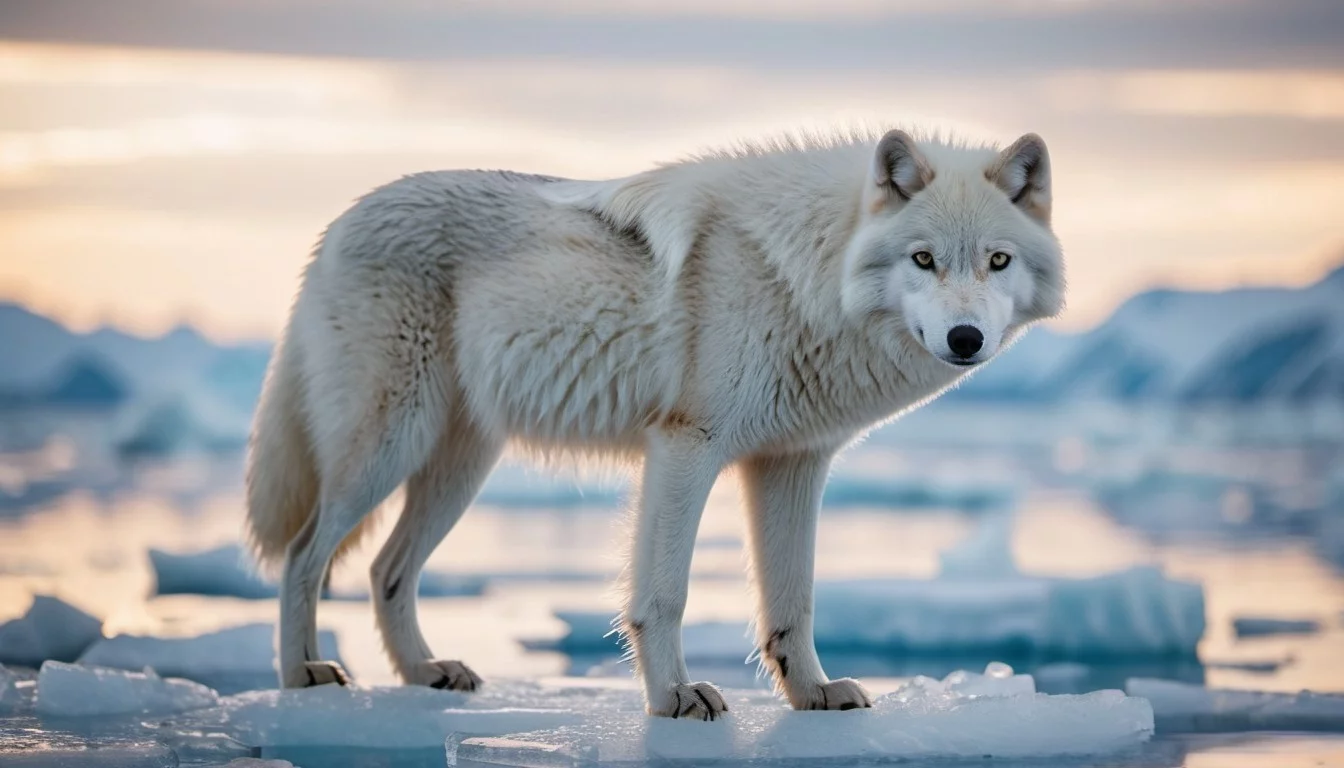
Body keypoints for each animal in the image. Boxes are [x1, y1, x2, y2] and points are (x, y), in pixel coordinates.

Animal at [244, 127, 1065, 719]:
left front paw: (812, 696)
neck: (807, 275)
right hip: (387, 449)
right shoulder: (685, 447)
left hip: (458, 468)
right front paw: (673, 698)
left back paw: (424, 671)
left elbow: (793, 600)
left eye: (997, 261)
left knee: (385, 569)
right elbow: (665, 594)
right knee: (304, 555)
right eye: (923, 259)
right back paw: (302, 673)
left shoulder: (794, 464)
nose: (966, 338)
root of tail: (338, 223)